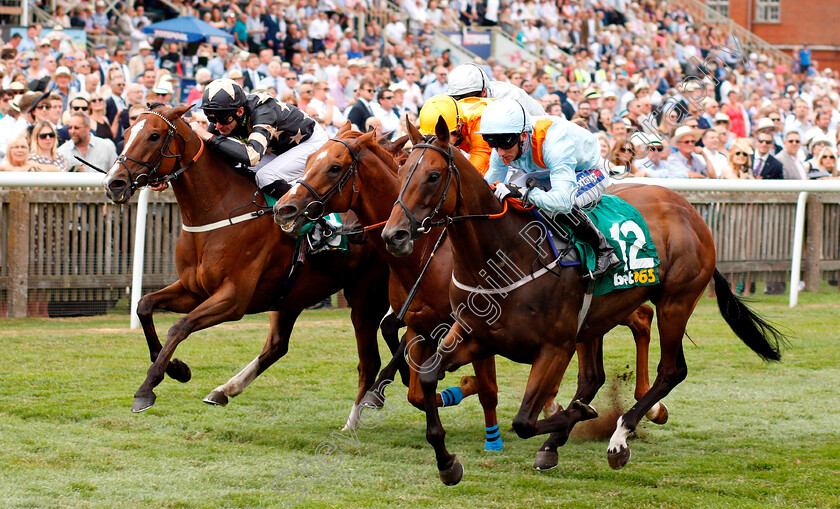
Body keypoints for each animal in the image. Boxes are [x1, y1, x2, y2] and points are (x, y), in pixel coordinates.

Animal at [101, 103, 394, 424]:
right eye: (127, 131)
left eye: (154, 135)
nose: (113, 182)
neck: (218, 210)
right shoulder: (194, 290)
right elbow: (144, 306)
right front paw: (176, 368)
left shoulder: (233, 299)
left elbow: (179, 326)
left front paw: (148, 387)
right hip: (293, 294)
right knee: (277, 346)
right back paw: (223, 390)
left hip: (366, 296)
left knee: (374, 354)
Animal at [276, 125, 668, 450]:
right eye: (308, 160)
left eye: (334, 167)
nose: (285, 208)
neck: (428, 252)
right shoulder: (422, 322)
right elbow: (415, 386)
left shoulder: (470, 325)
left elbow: (486, 389)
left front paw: (488, 428)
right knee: (622, 334)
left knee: (641, 320)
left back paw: (645, 408)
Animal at [382, 118, 788, 484]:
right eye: (400, 171)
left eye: (433, 176)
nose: (394, 235)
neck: (505, 253)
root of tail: (690, 211)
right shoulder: (476, 335)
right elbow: (429, 377)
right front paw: (447, 462)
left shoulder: (554, 347)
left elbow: (524, 420)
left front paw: (581, 418)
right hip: (597, 319)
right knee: (595, 376)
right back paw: (560, 442)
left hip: (675, 301)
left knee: (671, 370)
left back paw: (619, 437)